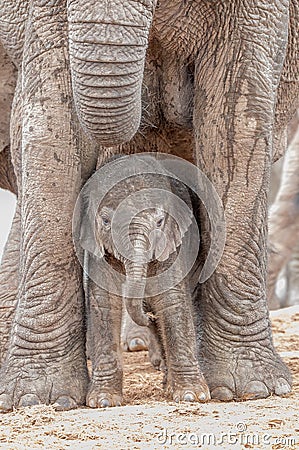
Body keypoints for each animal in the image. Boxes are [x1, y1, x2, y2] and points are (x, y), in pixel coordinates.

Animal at [78, 155, 210, 408]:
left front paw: (191, 396)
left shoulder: (171, 244)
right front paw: (103, 401)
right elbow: (105, 304)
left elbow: (171, 301)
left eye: (159, 221)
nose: (148, 316)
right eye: (106, 221)